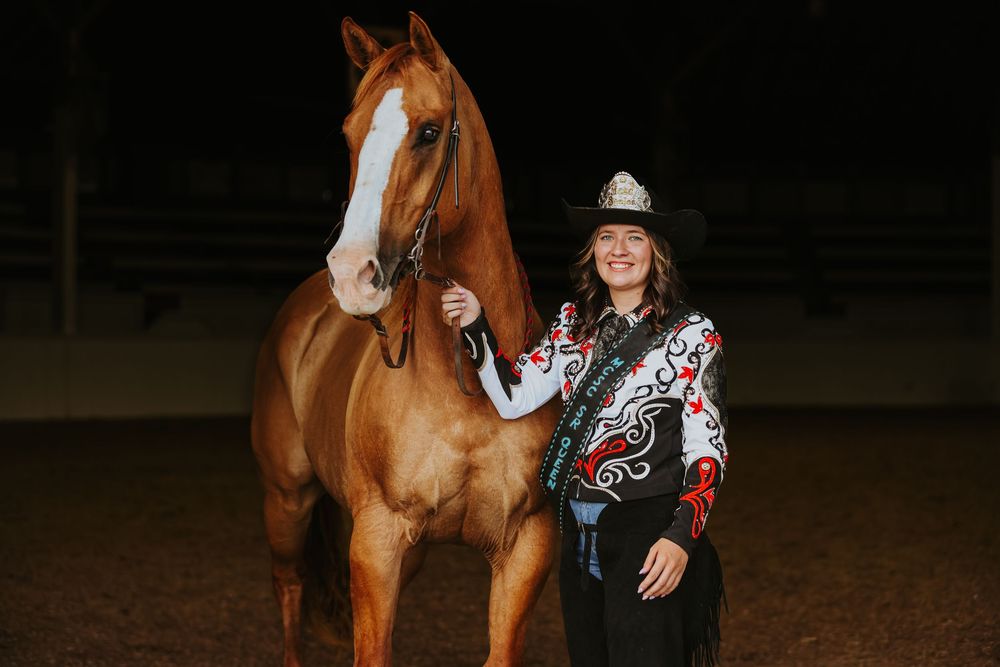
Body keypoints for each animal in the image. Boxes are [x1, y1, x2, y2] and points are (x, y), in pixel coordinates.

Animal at [250, 12, 561, 666]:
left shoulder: (525, 547)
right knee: (289, 587)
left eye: (428, 132)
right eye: (349, 135)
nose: (352, 273)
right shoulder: (377, 539)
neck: (466, 388)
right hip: (287, 500)